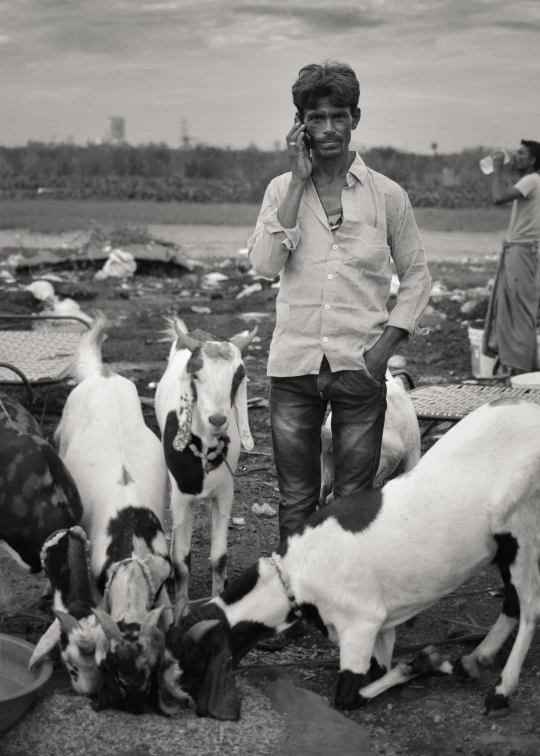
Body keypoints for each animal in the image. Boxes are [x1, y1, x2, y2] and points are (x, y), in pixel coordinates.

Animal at [156, 318, 258, 620]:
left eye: (238, 377)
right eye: (196, 375)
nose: (218, 419)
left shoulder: (225, 493)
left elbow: (219, 557)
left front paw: (217, 600)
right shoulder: (181, 496)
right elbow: (182, 561)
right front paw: (179, 613)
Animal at [160, 398, 540, 716]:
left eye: (194, 659)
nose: (180, 700)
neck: (296, 574)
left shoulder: (361, 623)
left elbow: (348, 696)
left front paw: (425, 661)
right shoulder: (382, 625)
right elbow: (380, 668)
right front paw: (435, 663)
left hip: (523, 530)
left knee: (530, 607)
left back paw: (501, 691)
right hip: (504, 547)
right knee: (512, 601)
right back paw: (475, 659)